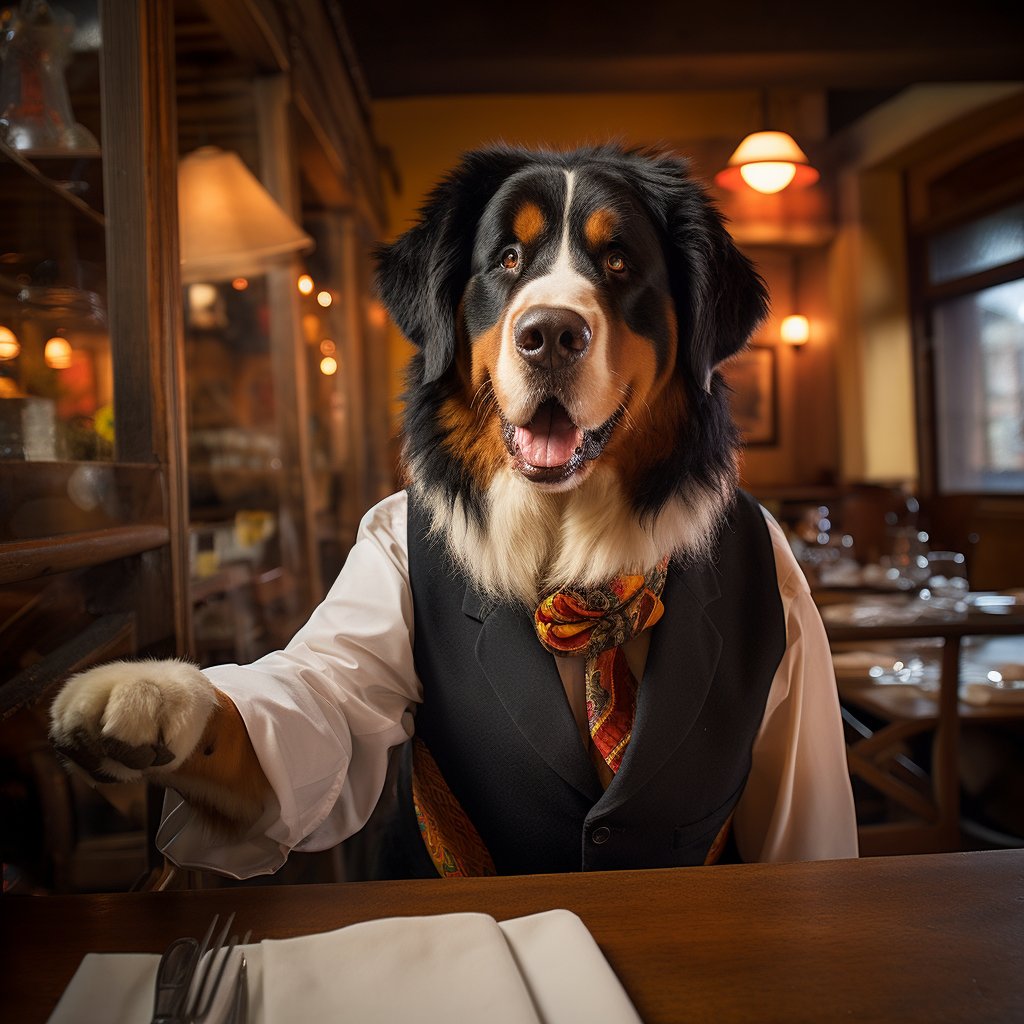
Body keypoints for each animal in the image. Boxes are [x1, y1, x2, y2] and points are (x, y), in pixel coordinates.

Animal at [48, 146, 856, 880]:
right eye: (507, 258)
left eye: (620, 262)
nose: (551, 333)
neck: (571, 558)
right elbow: (296, 732)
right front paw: (150, 690)